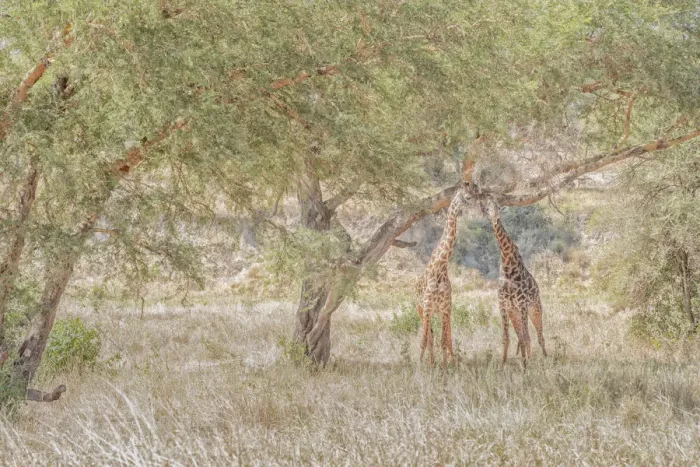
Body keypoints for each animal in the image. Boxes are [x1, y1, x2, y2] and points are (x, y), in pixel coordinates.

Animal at [415, 186, 470, 368]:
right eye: (465, 196)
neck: (440, 268)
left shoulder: (446, 308)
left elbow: (444, 341)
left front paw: (446, 368)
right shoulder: (427, 307)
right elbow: (424, 341)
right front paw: (419, 367)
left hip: (440, 312)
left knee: (444, 337)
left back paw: (446, 362)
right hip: (421, 309)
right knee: (429, 336)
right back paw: (431, 363)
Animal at [482, 199, 546, 366]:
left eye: (498, 208)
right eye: (487, 208)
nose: (494, 217)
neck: (508, 265)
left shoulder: (522, 304)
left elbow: (525, 337)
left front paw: (525, 365)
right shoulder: (504, 305)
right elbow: (506, 338)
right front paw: (502, 364)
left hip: (535, 309)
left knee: (539, 336)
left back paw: (545, 358)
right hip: (514, 314)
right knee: (524, 337)